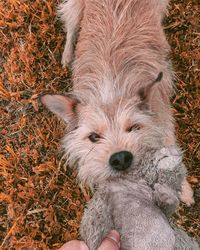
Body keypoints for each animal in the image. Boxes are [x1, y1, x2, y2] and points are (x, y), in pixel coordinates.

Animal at [40, 0, 194, 205]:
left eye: (134, 127)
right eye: (94, 137)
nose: (120, 159)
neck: (111, 89)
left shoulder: (163, 120)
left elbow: (170, 148)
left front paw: (183, 190)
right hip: (75, 7)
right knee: (71, 27)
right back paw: (67, 55)